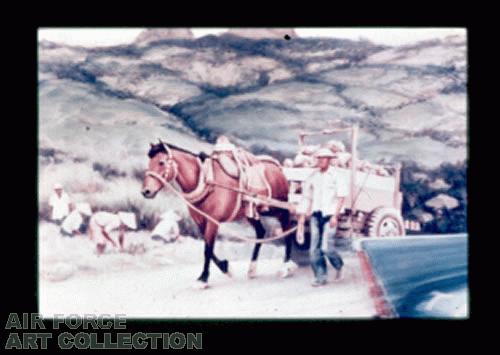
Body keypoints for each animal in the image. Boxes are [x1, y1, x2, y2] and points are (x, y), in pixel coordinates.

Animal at [143, 140, 294, 288]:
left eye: (161, 162)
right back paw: (252, 269)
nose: (146, 191)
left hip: (277, 209)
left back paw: (285, 267)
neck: (207, 182)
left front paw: (203, 278)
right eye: (149, 163)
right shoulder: (201, 221)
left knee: (288, 230)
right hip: (250, 213)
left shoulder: (213, 222)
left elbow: (208, 250)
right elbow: (208, 248)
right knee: (261, 232)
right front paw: (225, 267)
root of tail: (277, 168)